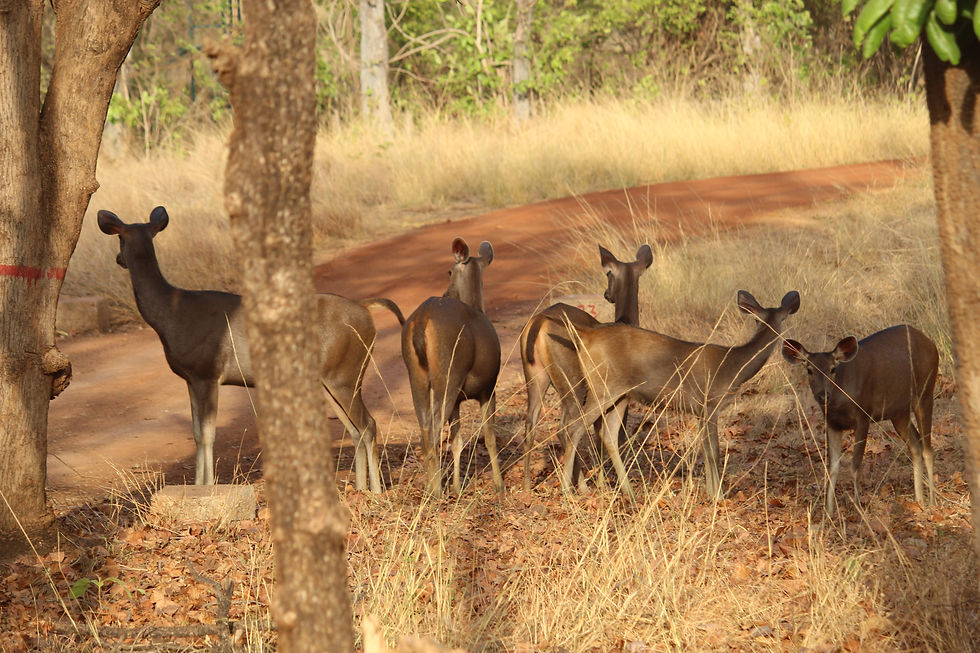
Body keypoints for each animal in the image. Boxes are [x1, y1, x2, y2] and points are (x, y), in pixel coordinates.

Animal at [98, 206, 405, 492]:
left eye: (119, 239)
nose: (118, 259)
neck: (170, 313)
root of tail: (365, 309)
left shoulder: (208, 372)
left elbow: (207, 434)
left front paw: (207, 487)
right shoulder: (191, 378)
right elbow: (196, 433)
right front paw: (197, 486)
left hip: (345, 374)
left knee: (368, 425)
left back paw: (376, 492)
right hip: (332, 378)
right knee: (354, 428)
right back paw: (360, 489)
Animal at [401, 237, 502, 497]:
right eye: (449, 270)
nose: (445, 291)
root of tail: (422, 321)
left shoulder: (459, 399)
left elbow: (457, 440)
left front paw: (457, 485)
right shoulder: (489, 387)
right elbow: (489, 437)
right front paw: (499, 485)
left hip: (417, 376)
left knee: (425, 427)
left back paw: (432, 487)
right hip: (449, 372)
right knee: (434, 429)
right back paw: (436, 490)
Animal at [520, 244, 653, 491]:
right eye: (608, 273)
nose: (607, 295)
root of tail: (538, 322)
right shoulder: (617, 393)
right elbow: (609, 435)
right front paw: (604, 483)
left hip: (536, 376)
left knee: (531, 424)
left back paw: (527, 487)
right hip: (573, 381)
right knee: (567, 426)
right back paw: (579, 486)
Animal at [545, 290, 800, 499]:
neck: (732, 367)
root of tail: (585, 336)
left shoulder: (700, 411)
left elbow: (705, 450)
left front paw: (710, 492)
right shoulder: (709, 403)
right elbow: (714, 452)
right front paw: (718, 497)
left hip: (621, 393)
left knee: (607, 434)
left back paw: (628, 491)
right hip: (602, 386)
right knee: (574, 426)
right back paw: (568, 490)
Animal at [781, 325, 938, 517]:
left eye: (833, 368)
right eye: (809, 369)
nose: (823, 395)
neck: (840, 401)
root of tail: (930, 343)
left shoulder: (864, 415)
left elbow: (855, 465)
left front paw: (858, 509)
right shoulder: (832, 423)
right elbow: (832, 467)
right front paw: (828, 513)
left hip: (925, 392)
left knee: (928, 449)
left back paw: (932, 502)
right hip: (899, 412)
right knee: (916, 445)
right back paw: (919, 500)